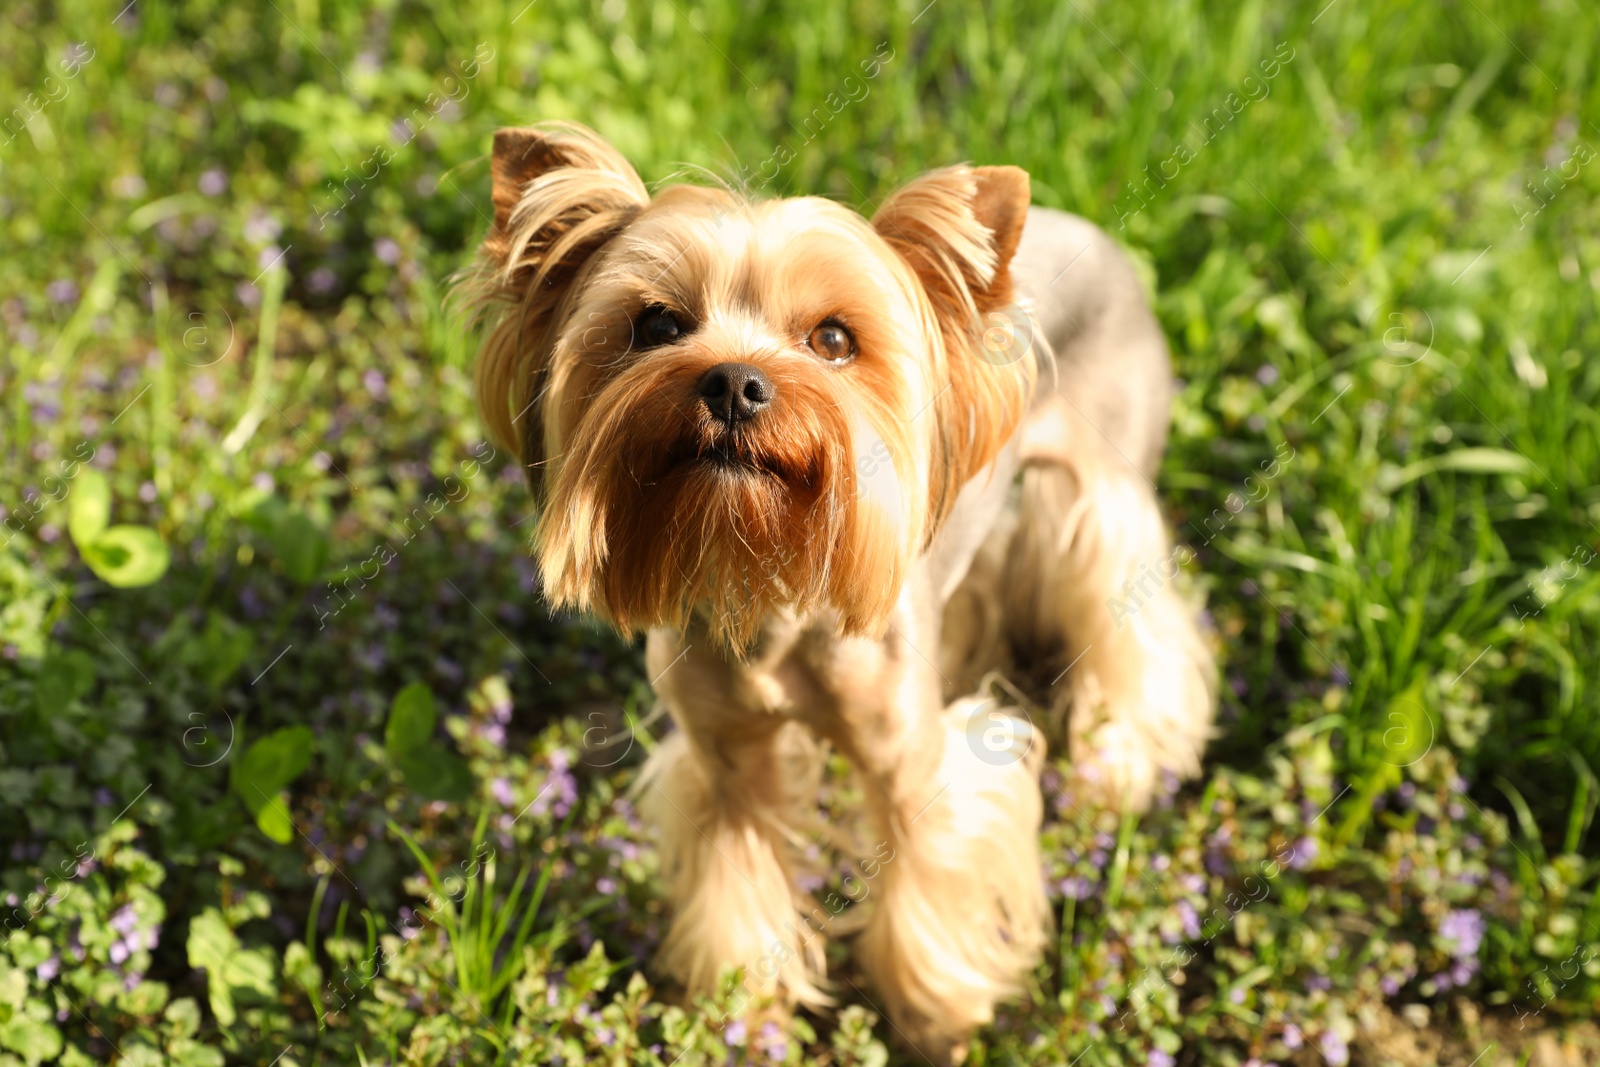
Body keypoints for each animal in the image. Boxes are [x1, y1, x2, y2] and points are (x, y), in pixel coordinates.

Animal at [464, 125, 1209, 1062]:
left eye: (832, 339)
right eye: (657, 324)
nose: (733, 381)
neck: (767, 575)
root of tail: (1096, 231)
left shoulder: (910, 759)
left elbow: (929, 876)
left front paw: (935, 1023)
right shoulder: (727, 759)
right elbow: (739, 886)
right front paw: (747, 1020)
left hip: (1106, 481)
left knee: (1129, 610)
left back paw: (1120, 767)